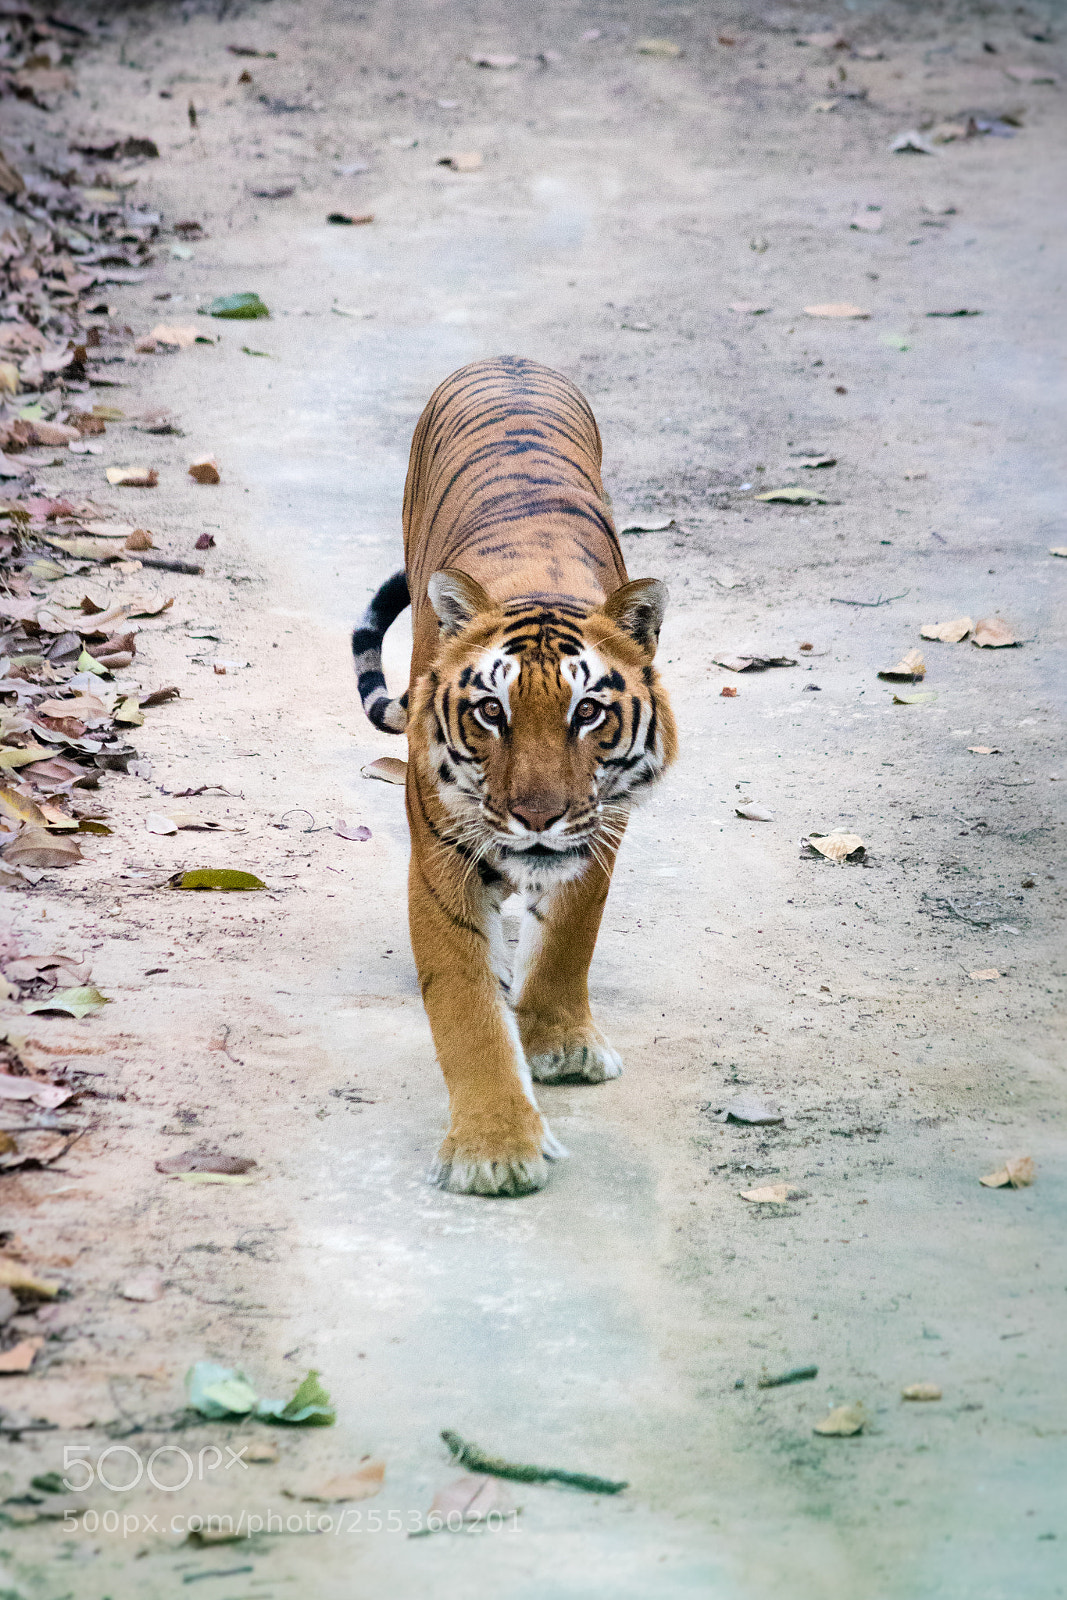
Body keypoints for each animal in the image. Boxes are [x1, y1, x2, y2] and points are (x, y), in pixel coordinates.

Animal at [353, 356, 676, 1196]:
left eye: (587, 712)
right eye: (490, 712)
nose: (536, 818)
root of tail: (506, 359)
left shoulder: (600, 829)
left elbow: (570, 938)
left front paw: (560, 1041)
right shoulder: (441, 857)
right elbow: (464, 1005)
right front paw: (493, 1148)